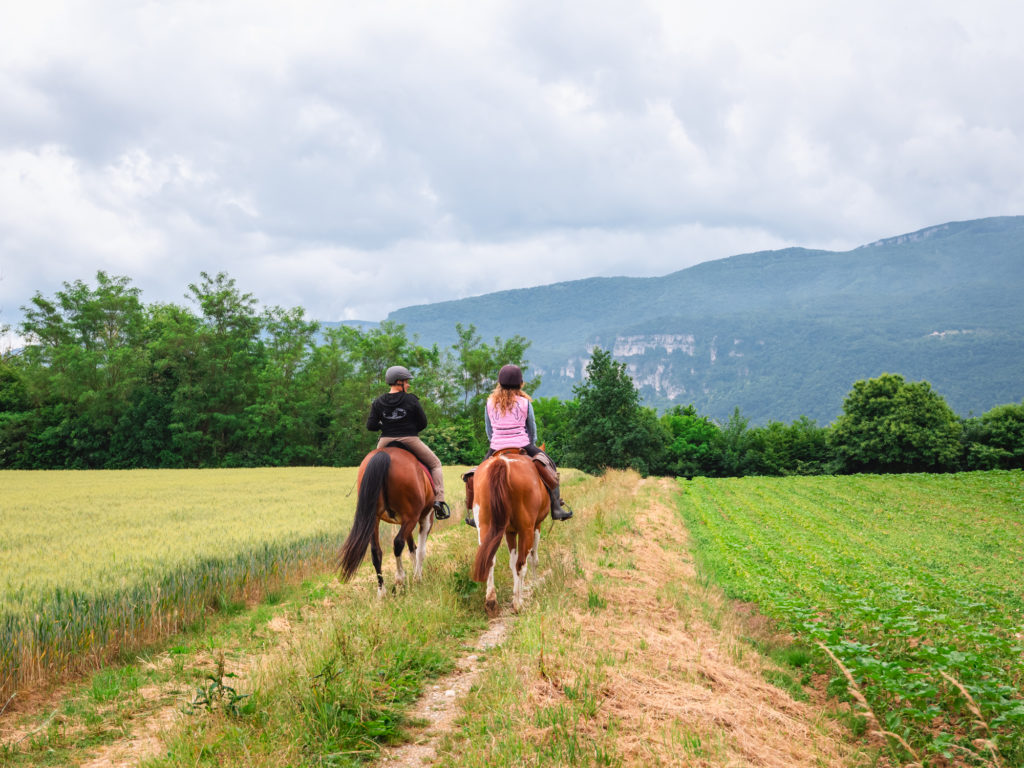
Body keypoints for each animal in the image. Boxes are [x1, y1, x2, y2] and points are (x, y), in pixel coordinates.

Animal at [338, 444, 437, 596]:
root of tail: (384, 454)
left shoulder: (404, 521)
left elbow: (412, 549)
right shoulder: (425, 517)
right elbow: (420, 550)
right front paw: (418, 578)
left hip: (374, 519)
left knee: (376, 551)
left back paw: (382, 592)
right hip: (411, 517)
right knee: (398, 543)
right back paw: (400, 578)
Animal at [469, 448, 550, 616]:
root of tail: (502, 462)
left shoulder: (509, 532)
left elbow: (511, 563)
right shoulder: (536, 527)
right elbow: (532, 559)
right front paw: (534, 586)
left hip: (485, 527)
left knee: (490, 560)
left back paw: (491, 602)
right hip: (526, 530)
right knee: (522, 564)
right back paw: (518, 604)